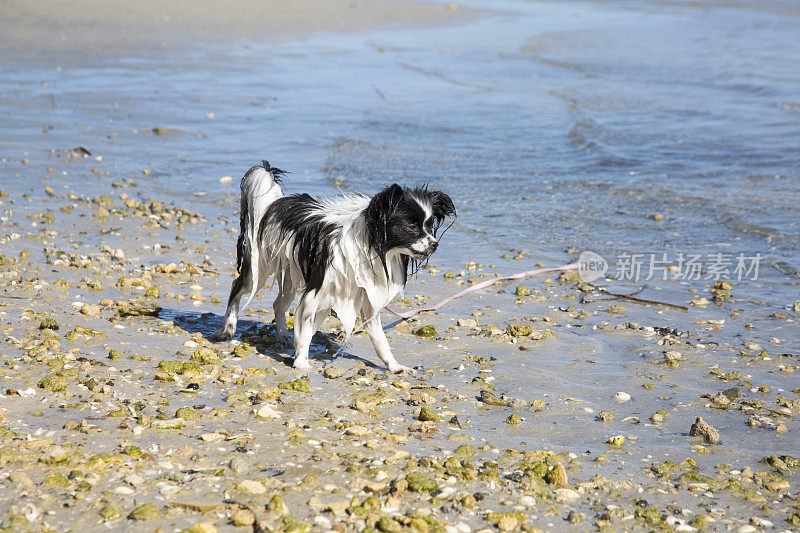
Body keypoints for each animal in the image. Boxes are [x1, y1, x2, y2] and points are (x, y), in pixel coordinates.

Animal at [214, 160, 456, 372]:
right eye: (411, 227)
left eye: (429, 226)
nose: (434, 244)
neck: (370, 245)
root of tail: (274, 205)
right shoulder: (315, 291)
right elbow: (305, 330)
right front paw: (301, 362)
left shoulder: (367, 297)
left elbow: (379, 339)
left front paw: (394, 367)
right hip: (260, 267)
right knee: (237, 286)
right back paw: (229, 327)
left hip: (290, 275)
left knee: (278, 305)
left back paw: (283, 336)